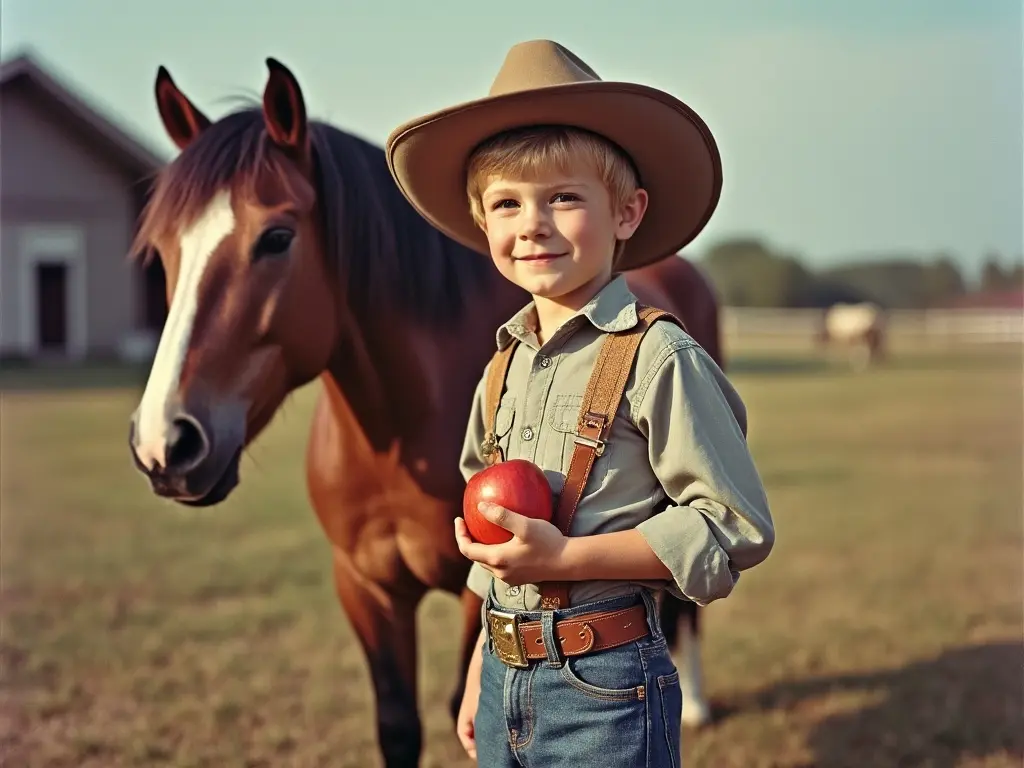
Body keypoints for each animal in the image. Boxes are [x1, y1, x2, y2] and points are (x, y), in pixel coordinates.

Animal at [128, 58, 720, 768]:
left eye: (276, 238)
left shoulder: (479, 586)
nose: (166, 444)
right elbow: (399, 726)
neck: (396, 434)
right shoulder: (366, 587)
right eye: (162, 249)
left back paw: (699, 703)